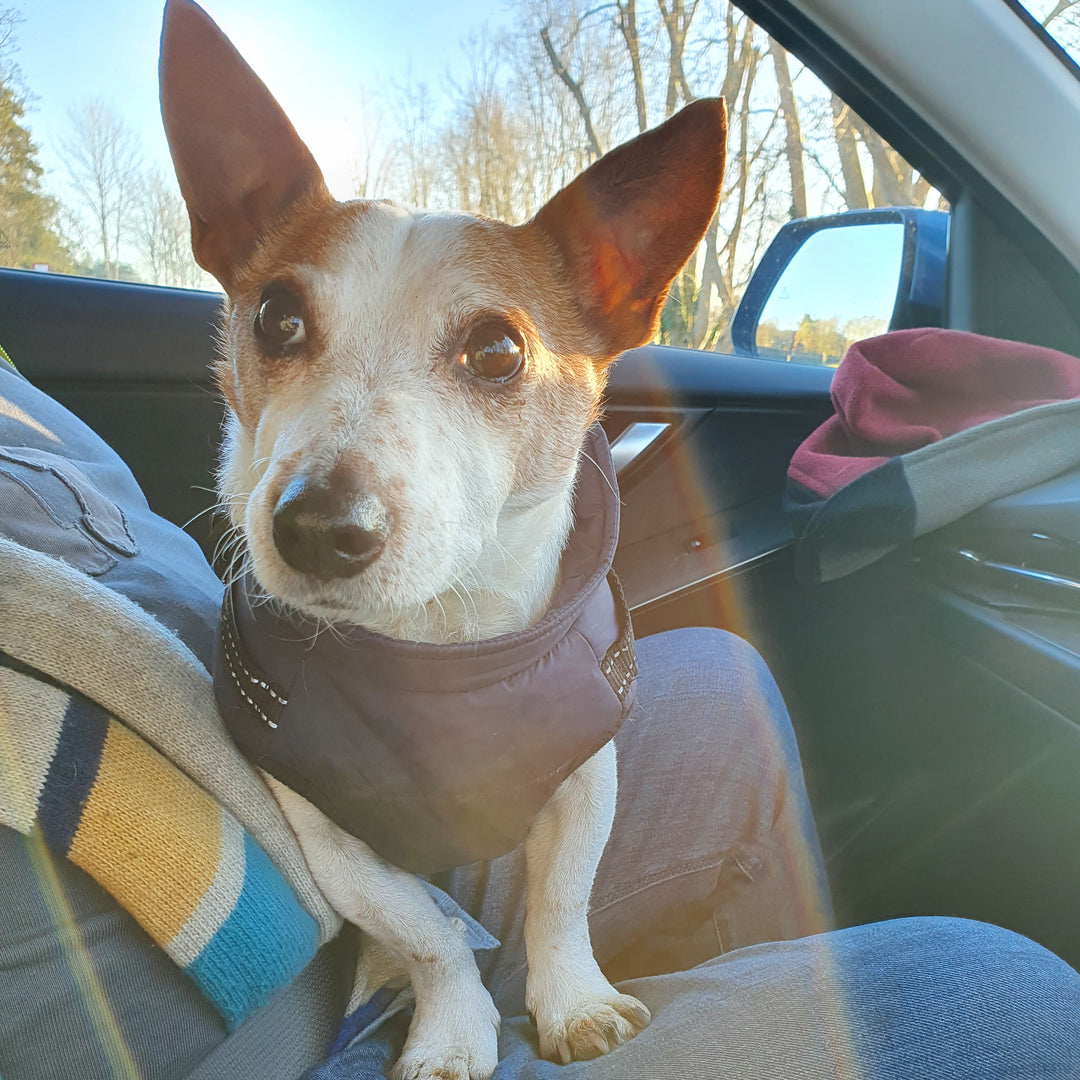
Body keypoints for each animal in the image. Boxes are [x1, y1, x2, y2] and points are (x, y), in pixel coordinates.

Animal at [157, 4, 725, 1075]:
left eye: (497, 349)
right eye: (276, 317)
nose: (317, 527)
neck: (438, 654)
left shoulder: (586, 776)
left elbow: (562, 899)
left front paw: (572, 1000)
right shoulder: (328, 836)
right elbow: (427, 933)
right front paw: (452, 1025)